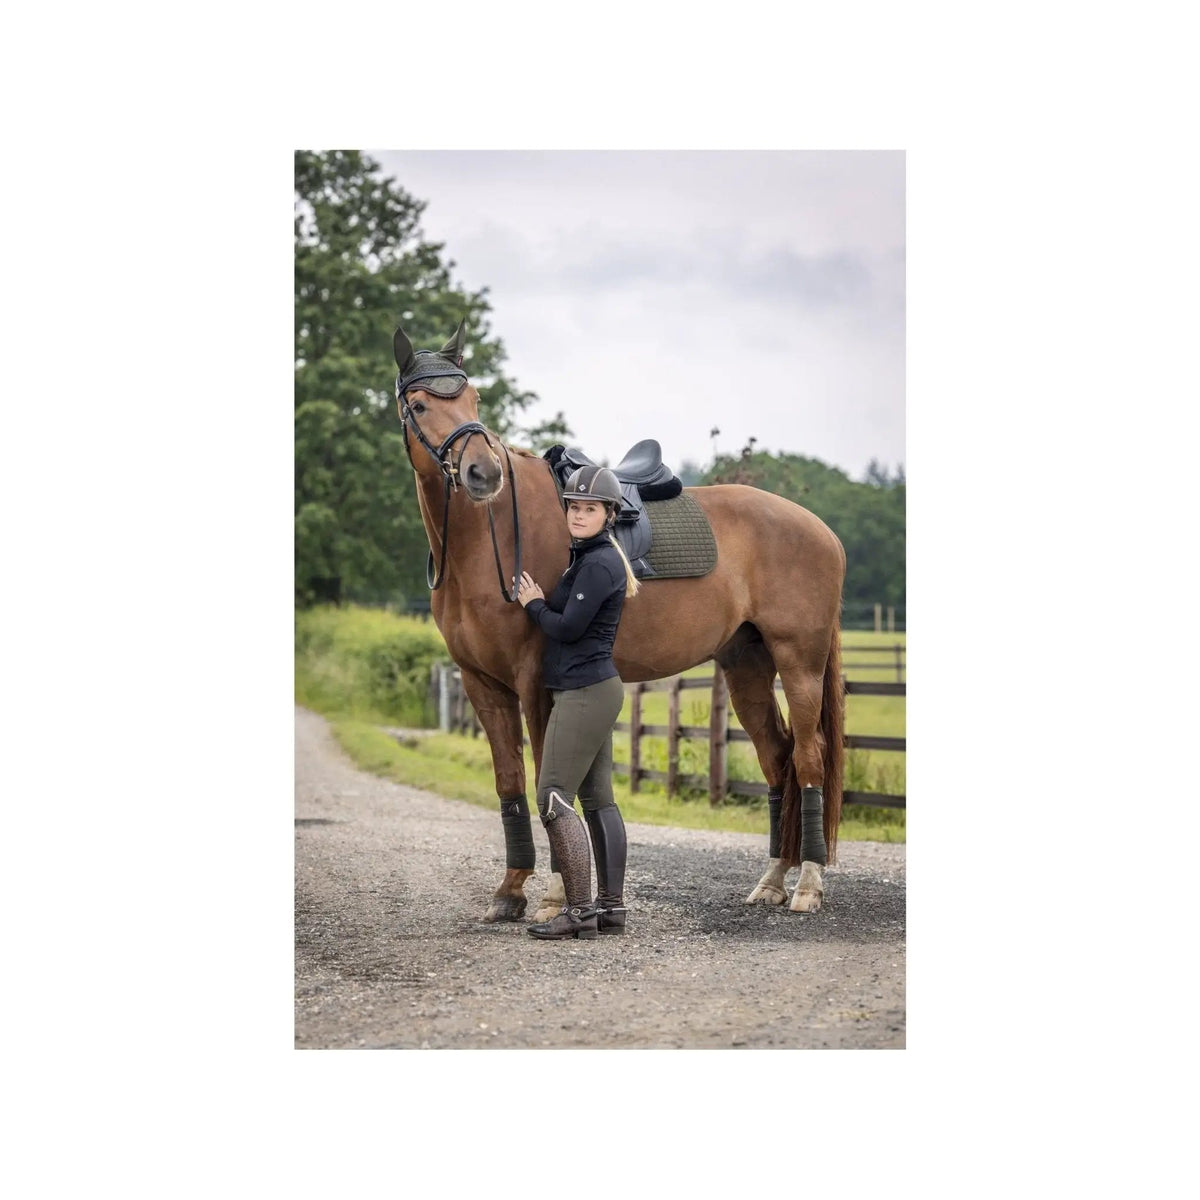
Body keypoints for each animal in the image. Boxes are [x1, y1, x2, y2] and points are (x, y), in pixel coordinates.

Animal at [393, 321, 846, 922]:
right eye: (420, 405)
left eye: (474, 400)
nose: (482, 473)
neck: (490, 541)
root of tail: (821, 530)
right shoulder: (481, 684)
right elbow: (509, 783)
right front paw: (510, 891)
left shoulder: (535, 682)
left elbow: (549, 779)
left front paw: (555, 894)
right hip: (746, 666)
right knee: (779, 761)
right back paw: (772, 880)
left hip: (799, 664)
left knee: (810, 758)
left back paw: (808, 885)